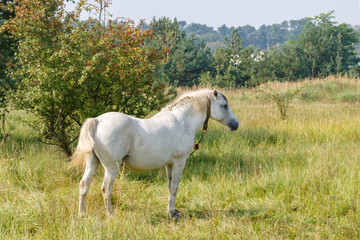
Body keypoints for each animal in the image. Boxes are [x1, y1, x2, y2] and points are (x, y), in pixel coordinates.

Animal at [70, 88, 239, 219]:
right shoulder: (179, 162)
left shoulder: (169, 164)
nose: (235, 125)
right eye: (224, 105)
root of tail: (97, 120)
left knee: (84, 185)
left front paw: (171, 210)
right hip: (111, 167)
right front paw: (173, 214)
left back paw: (82, 214)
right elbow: (175, 187)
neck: (182, 121)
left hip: (93, 163)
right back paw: (111, 215)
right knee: (106, 189)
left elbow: (170, 186)